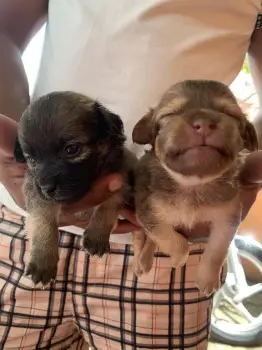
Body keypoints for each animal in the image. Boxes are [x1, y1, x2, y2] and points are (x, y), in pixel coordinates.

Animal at [14, 91, 137, 286]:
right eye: (31, 160)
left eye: (72, 149)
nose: (47, 188)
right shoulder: (35, 189)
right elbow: (43, 219)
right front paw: (43, 261)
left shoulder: (122, 175)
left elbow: (110, 203)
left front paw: (97, 235)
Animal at [132, 80, 258, 296]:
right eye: (170, 114)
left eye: (230, 114)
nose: (204, 123)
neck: (193, 184)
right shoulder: (148, 213)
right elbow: (173, 241)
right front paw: (177, 259)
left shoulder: (228, 218)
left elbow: (217, 249)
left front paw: (207, 279)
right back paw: (143, 260)